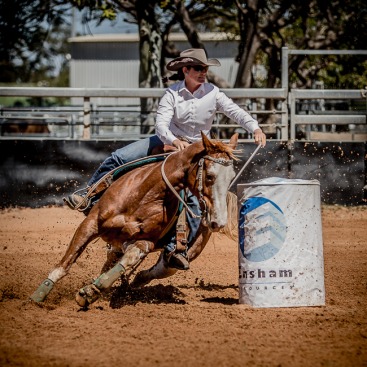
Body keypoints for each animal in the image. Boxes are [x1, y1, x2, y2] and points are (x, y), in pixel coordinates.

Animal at [30, 132, 240, 308]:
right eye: (210, 176)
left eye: (231, 178)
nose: (218, 221)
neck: (145, 194)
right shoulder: (90, 224)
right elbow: (64, 265)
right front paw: (37, 297)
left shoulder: (143, 242)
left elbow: (128, 261)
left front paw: (91, 292)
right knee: (110, 262)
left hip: (184, 253)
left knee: (159, 268)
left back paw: (133, 281)